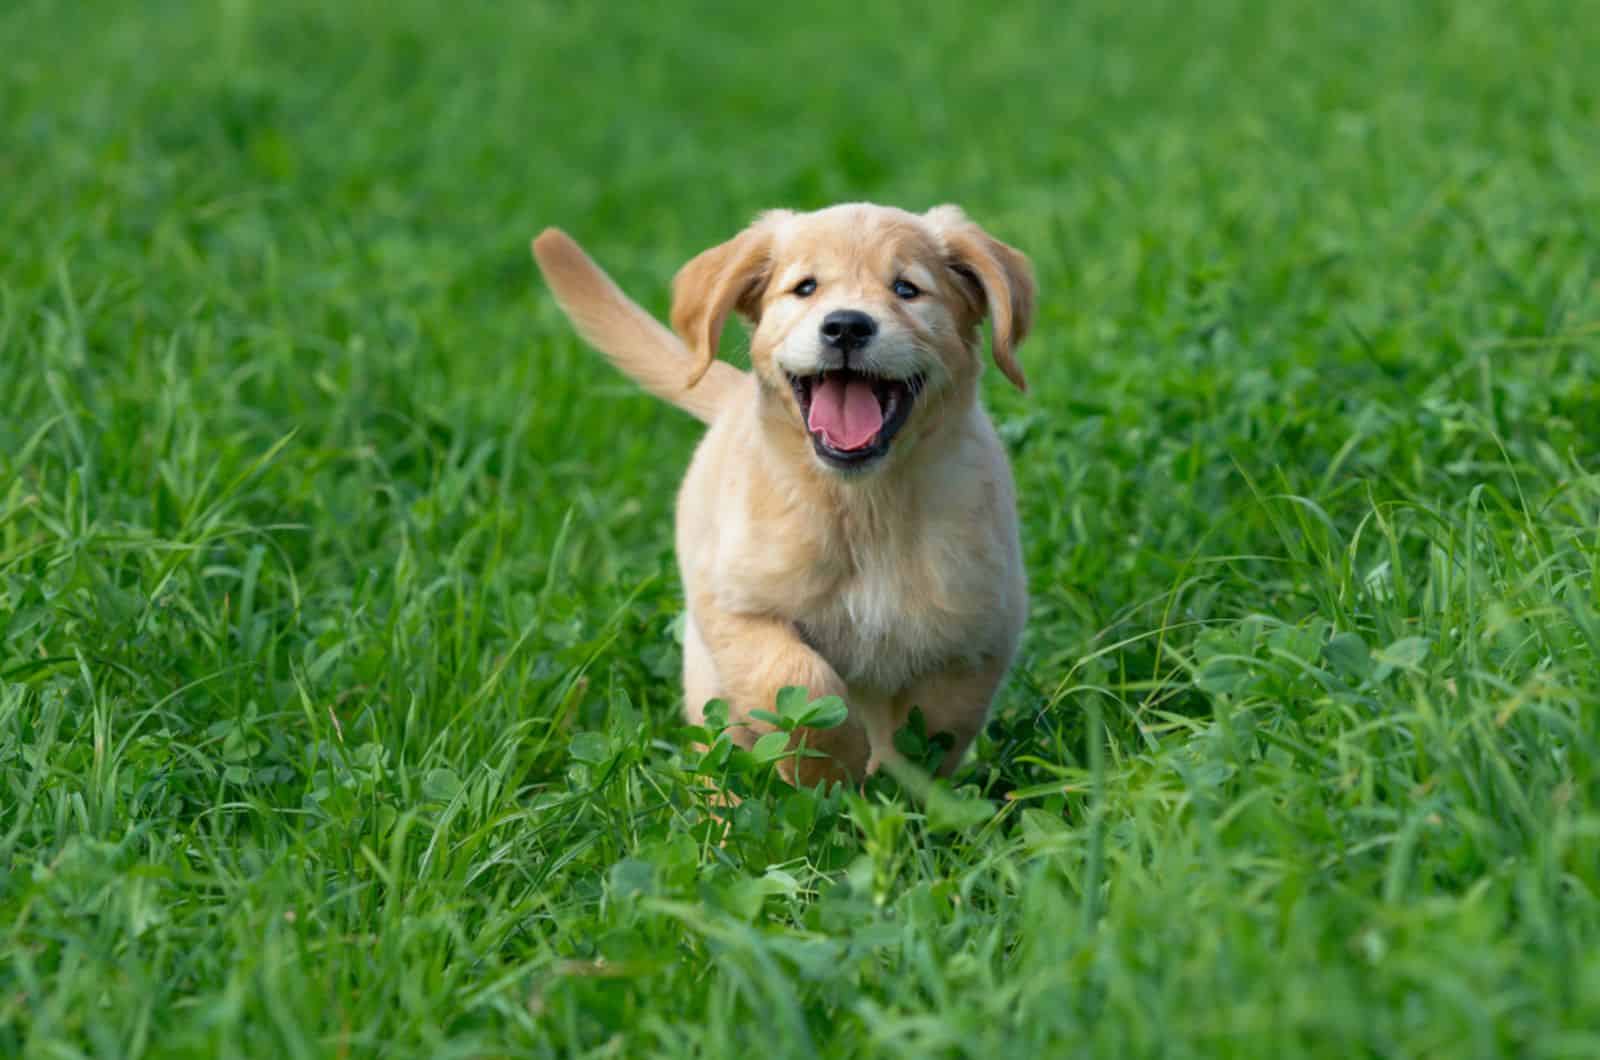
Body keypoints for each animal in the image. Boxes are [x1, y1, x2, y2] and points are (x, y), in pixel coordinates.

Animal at [534, 204, 1036, 787]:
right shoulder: (736, 607)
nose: (846, 325)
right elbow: (797, 682)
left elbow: (934, 725)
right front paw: (831, 769)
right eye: (806, 287)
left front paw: (897, 784)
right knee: (717, 749)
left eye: (907, 289)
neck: (863, 505)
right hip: (705, 673)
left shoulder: (977, 631)